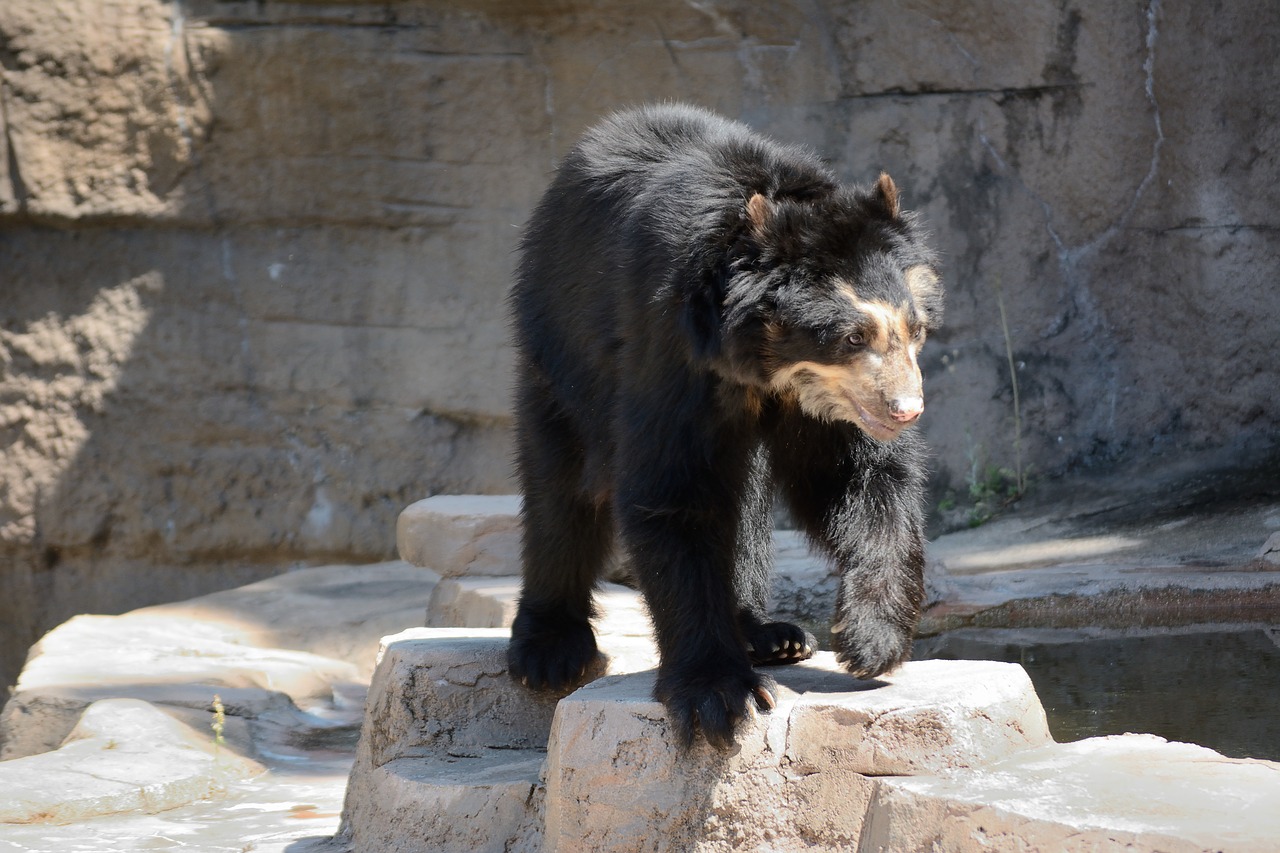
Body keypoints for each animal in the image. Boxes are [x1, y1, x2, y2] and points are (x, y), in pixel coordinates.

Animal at [506, 103, 942, 747]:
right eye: (851, 336)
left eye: (914, 328)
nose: (905, 410)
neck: (763, 366)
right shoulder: (669, 346)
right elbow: (673, 492)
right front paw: (718, 696)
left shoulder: (828, 406)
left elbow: (859, 479)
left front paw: (869, 639)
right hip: (559, 349)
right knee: (561, 487)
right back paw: (549, 650)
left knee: (747, 502)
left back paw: (770, 633)